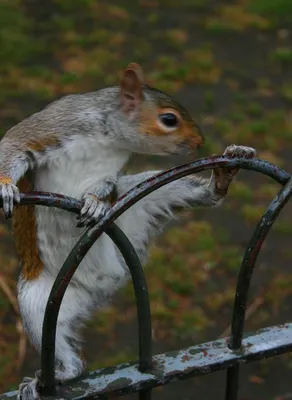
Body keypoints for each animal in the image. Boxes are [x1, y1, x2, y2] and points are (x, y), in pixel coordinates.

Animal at [0, 63, 256, 400]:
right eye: (169, 119)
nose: (199, 142)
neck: (108, 138)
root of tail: (107, 280)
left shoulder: (110, 173)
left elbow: (105, 187)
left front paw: (95, 203)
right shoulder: (52, 128)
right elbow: (14, 144)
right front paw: (5, 186)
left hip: (149, 195)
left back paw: (222, 177)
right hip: (38, 302)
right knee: (67, 355)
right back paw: (50, 378)